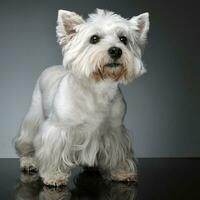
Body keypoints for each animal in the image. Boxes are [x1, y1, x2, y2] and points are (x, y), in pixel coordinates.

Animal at [15, 7, 148, 186]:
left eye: (123, 39)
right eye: (94, 38)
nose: (116, 50)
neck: (97, 89)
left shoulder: (115, 131)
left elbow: (118, 153)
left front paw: (122, 172)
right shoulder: (58, 130)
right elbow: (53, 153)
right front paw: (54, 175)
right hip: (34, 117)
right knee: (27, 143)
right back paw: (28, 162)